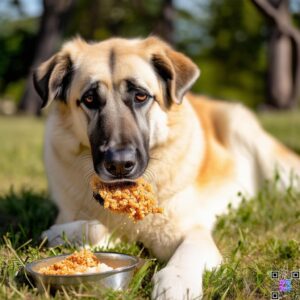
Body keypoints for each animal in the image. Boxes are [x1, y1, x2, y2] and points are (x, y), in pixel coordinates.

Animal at [33, 36, 300, 298]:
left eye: (141, 96)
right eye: (89, 99)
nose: (119, 164)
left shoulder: (191, 232)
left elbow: (186, 255)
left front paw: (176, 284)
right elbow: (94, 227)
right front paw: (58, 234)